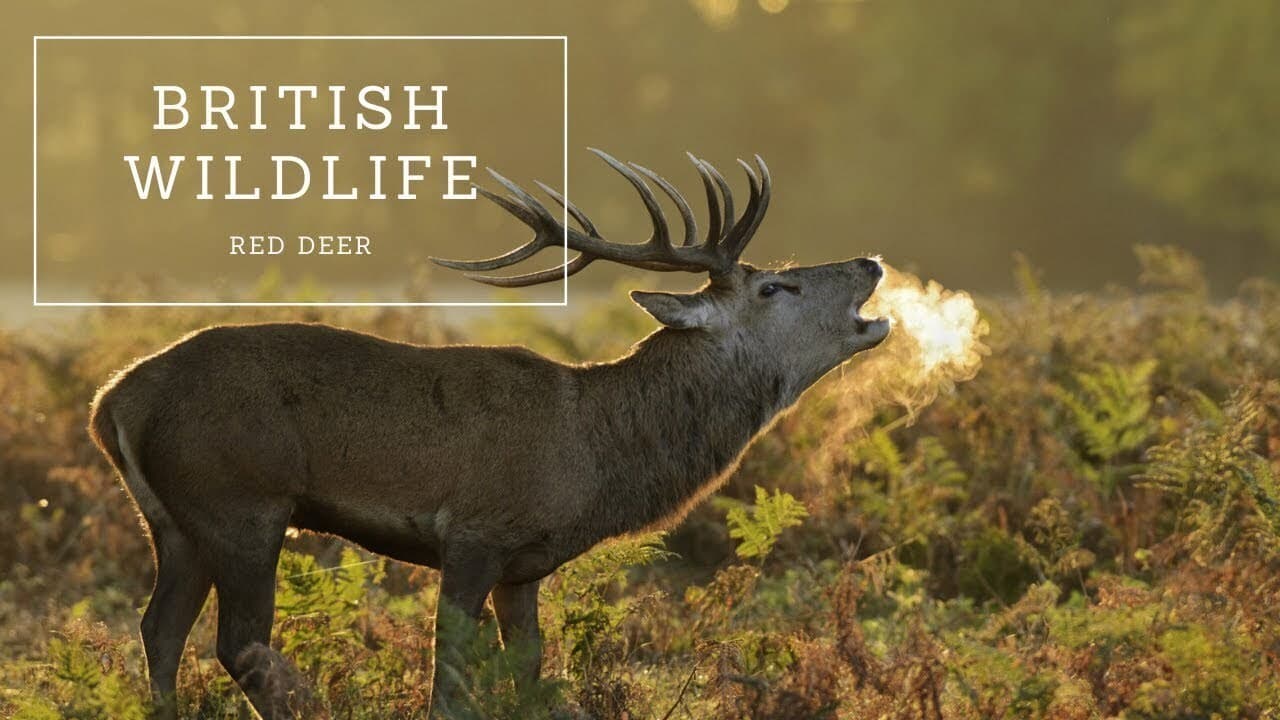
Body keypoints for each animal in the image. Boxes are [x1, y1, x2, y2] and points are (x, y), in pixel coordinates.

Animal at [88, 148, 890, 719]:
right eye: (774, 286)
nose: (869, 259)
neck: (594, 456)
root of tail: (111, 402)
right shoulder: (475, 530)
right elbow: (449, 681)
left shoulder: (525, 565)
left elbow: (528, 675)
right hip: (242, 501)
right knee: (239, 643)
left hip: (176, 522)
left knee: (159, 631)